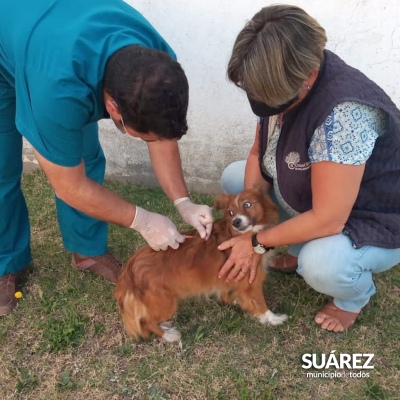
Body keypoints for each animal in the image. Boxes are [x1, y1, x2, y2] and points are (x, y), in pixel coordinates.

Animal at [114, 187, 286, 340]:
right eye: (230, 212)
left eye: (247, 204)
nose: (236, 222)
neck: (237, 234)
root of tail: (130, 267)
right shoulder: (251, 282)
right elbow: (260, 304)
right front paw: (273, 319)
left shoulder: (228, 275)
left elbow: (226, 293)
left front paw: (235, 300)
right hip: (165, 302)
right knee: (146, 321)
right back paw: (167, 335)